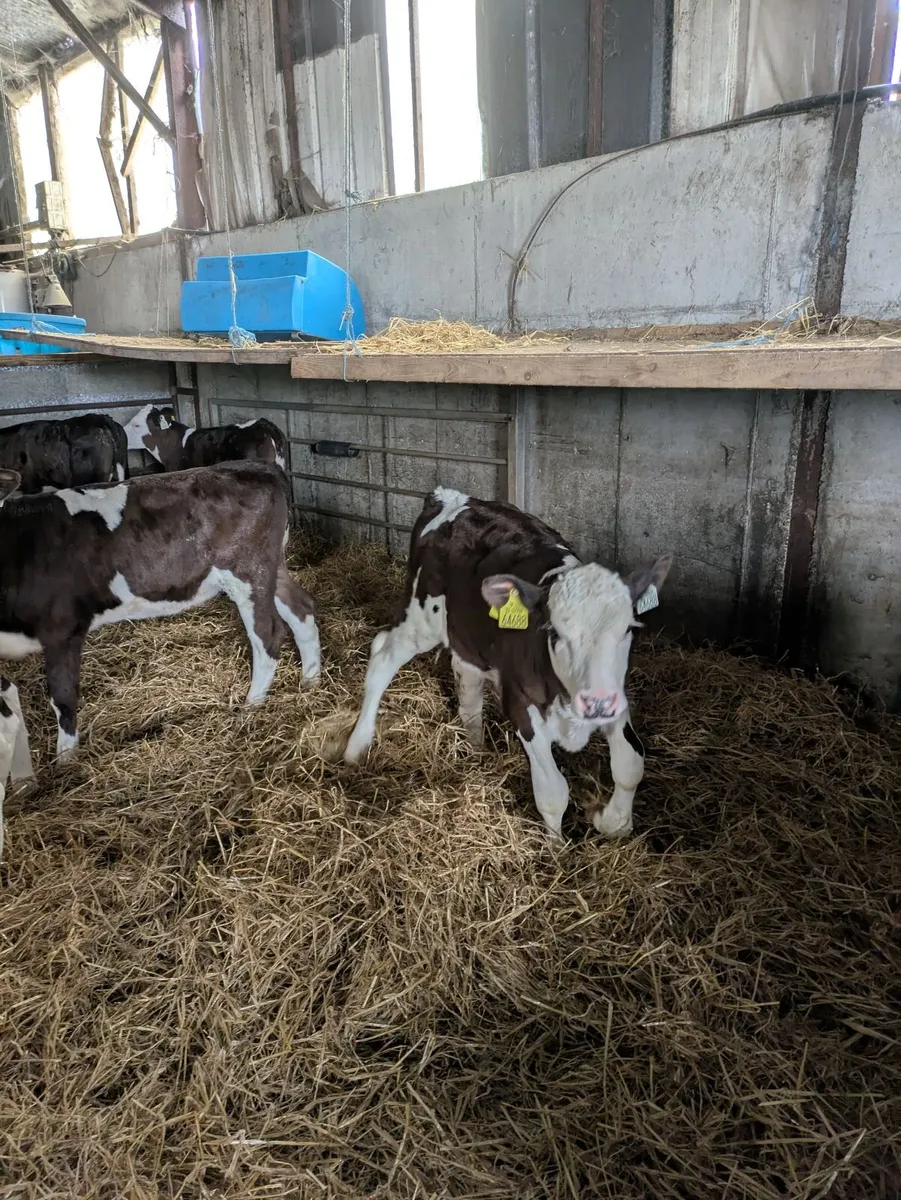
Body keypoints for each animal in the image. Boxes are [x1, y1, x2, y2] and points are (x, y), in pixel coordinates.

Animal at [0, 462, 320, 761]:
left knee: (268, 634)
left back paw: (252, 706)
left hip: (248, 572)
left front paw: (66, 761)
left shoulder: (62, 628)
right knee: (302, 608)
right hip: (271, 570)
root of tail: (259, 467)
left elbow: (62, 696)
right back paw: (311, 681)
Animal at [342, 487, 672, 840]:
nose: (596, 703)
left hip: (466, 633)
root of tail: (450, 496)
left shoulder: (615, 697)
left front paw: (611, 821)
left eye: (628, 628)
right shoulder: (521, 703)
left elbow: (630, 765)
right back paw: (356, 747)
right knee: (383, 654)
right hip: (421, 618)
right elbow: (553, 792)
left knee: (467, 686)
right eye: (554, 632)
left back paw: (476, 749)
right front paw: (555, 846)